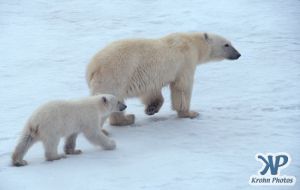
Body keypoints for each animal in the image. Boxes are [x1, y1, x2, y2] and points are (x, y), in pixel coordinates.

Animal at [85, 31, 240, 125]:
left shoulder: (151, 77)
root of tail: (92, 68)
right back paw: (127, 119)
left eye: (231, 43)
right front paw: (189, 113)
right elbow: (182, 87)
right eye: (227, 44)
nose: (238, 54)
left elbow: (152, 91)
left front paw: (151, 109)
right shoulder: (185, 62)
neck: (192, 42)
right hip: (115, 76)